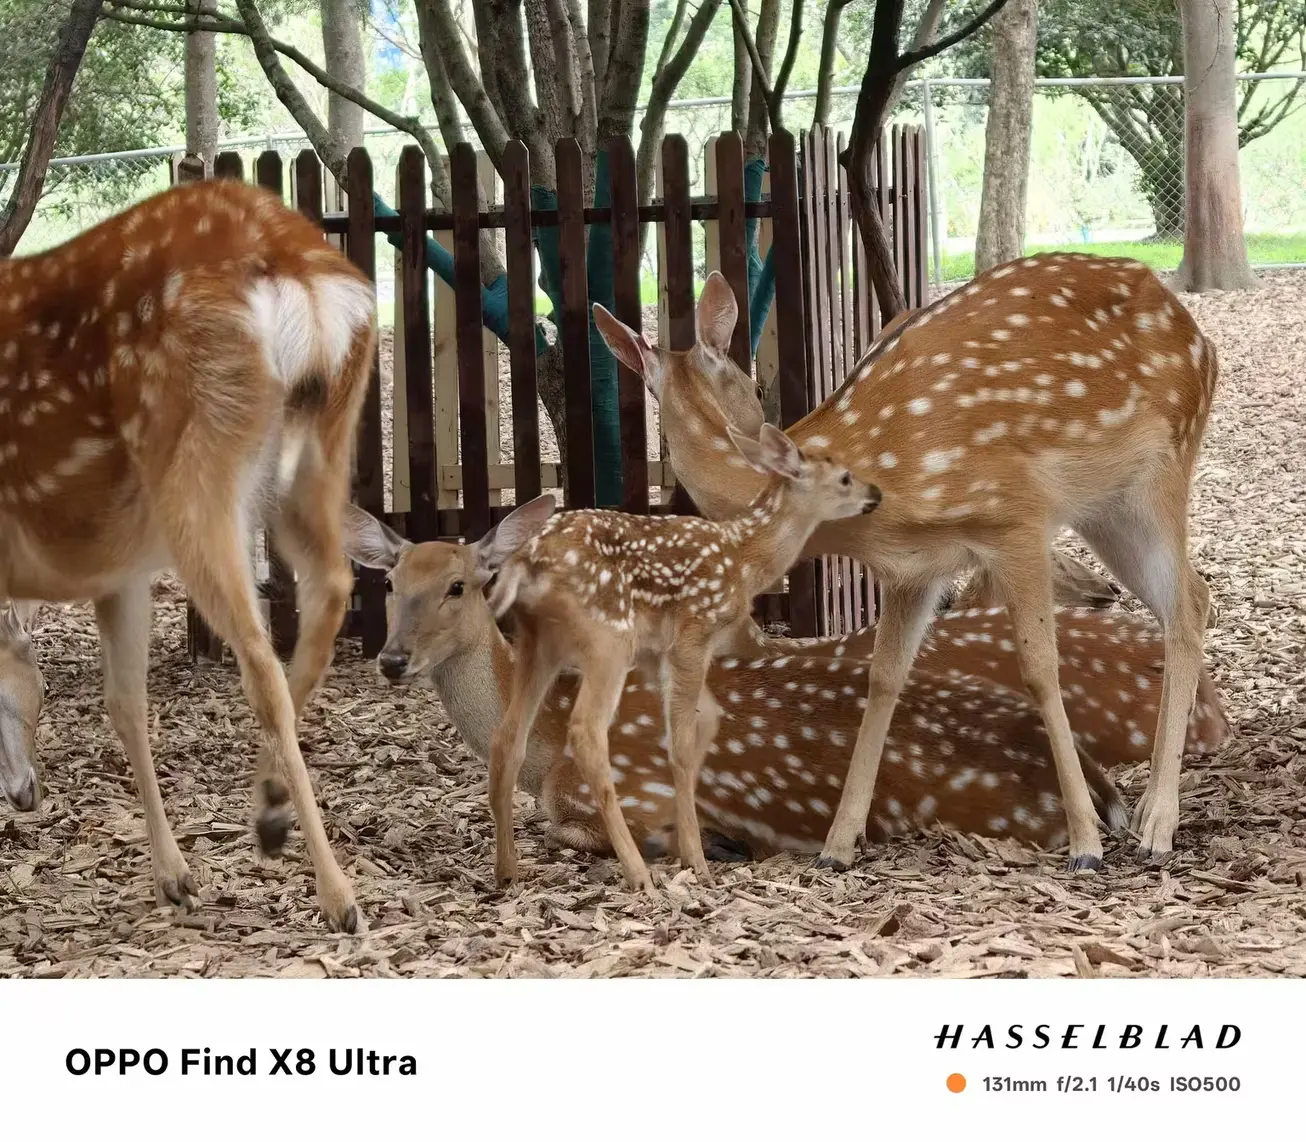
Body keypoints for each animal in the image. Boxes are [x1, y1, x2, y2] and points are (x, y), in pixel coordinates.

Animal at [0, 178, 376, 932]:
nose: (23, 793)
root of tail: (296, 261)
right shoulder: (119, 573)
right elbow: (125, 702)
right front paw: (174, 878)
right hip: (321, 444)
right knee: (330, 589)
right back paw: (268, 812)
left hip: (195, 467)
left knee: (261, 656)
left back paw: (337, 895)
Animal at [341, 506, 1143, 865]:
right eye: (389, 583)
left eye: (460, 585)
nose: (391, 658)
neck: (544, 747)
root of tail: (1111, 795)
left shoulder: (621, 791)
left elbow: (574, 824)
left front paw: (713, 843)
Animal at [471, 426, 880, 892]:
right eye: (845, 477)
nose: (877, 493)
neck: (744, 562)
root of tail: (527, 559)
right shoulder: (693, 632)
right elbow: (682, 741)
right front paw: (697, 861)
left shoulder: (656, 651)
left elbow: (707, 722)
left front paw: (694, 842)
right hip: (608, 636)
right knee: (586, 732)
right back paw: (637, 873)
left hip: (538, 642)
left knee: (508, 735)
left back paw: (507, 871)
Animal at [595, 256, 1219, 873]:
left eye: (749, 380)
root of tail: (1199, 337)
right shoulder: (914, 568)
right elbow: (884, 677)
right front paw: (837, 846)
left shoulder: (1014, 518)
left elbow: (1042, 671)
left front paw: (1086, 844)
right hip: (1105, 507)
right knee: (1191, 598)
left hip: (1160, 470)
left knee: (1188, 601)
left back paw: (1156, 824)